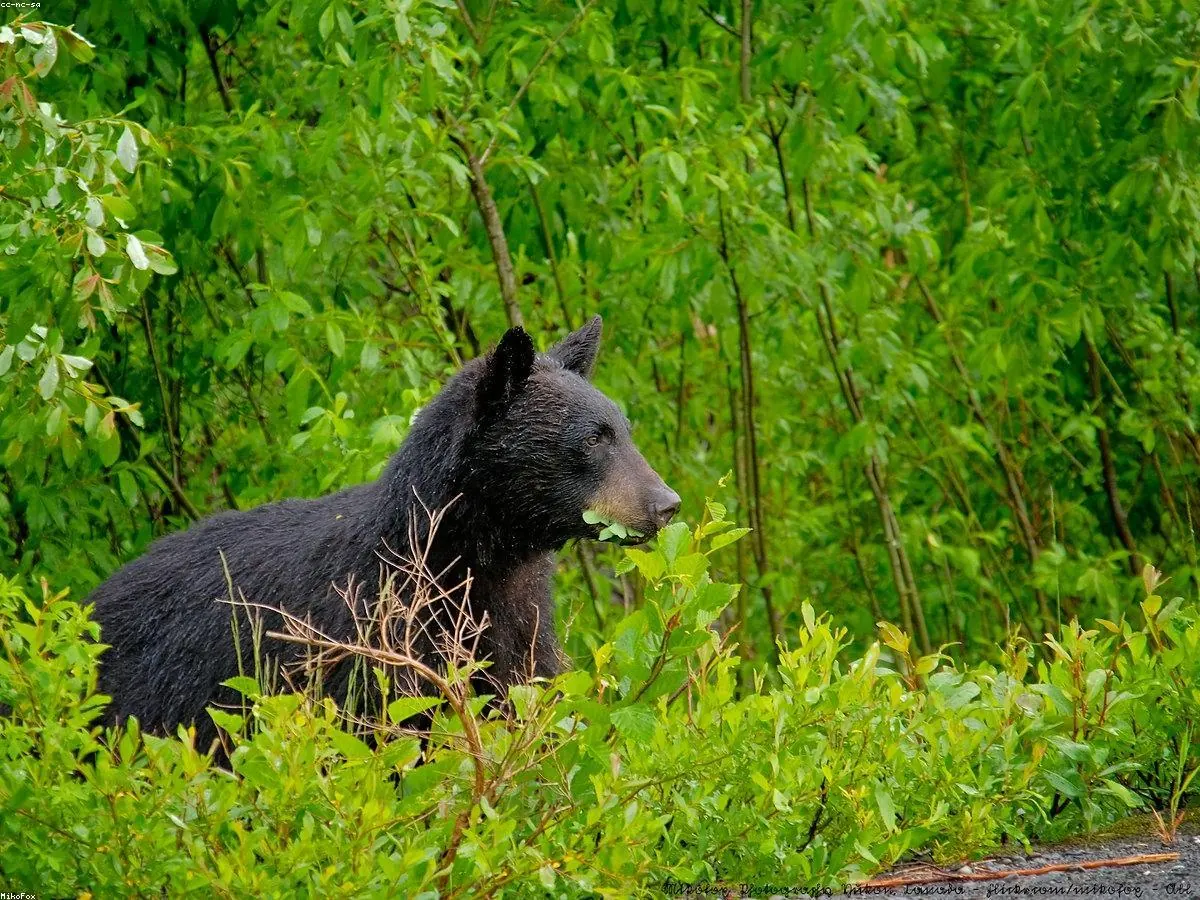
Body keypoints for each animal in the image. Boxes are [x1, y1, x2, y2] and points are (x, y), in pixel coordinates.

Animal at [89, 316, 680, 751]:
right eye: (595, 438)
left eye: (623, 429)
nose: (666, 503)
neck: (461, 560)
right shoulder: (370, 646)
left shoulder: (518, 629)